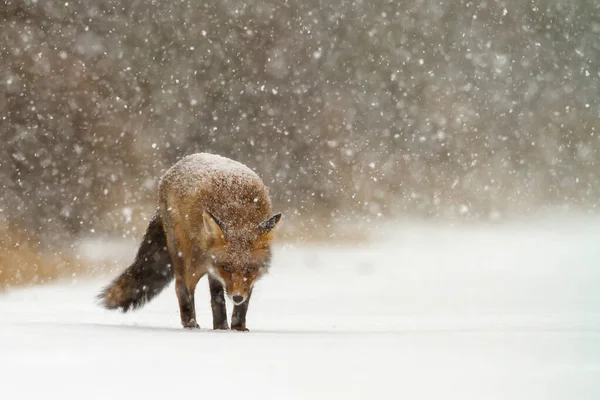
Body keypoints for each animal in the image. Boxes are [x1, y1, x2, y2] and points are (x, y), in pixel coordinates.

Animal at [98, 153, 282, 332]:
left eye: (250, 269)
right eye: (226, 268)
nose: (236, 297)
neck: (237, 210)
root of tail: (171, 170)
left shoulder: (246, 280)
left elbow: (242, 305)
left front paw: (237, 327)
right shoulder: (212, 267)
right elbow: (218, 299)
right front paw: (221, 328)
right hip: (188, 259)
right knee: (182, 287)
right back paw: (190, 323)